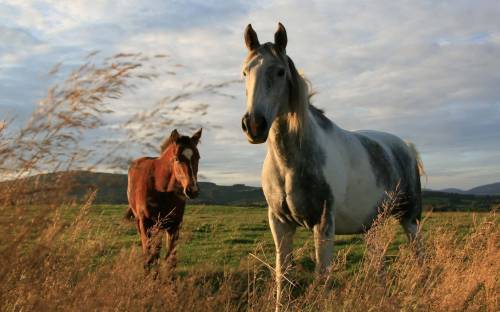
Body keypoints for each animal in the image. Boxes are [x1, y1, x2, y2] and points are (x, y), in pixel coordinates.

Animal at [126, 128, 202, 270]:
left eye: (198, 157)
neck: (161, 188)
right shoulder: (146, 224)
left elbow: (170, 260)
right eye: (177, 158)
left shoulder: (174, 225)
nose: (192, 190)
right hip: (141, 222)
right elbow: (149, 257)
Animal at [240, 23, 424, 308]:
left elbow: (322, 278)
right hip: (372, 226)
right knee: (378, 263)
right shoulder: (279, 223)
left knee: (419, 257)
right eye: (245, 72)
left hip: (410, 219)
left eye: (280, 71)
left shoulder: (324, 223)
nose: (254, 125)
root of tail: (405, 146)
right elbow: (284, 277)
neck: (290, 164)